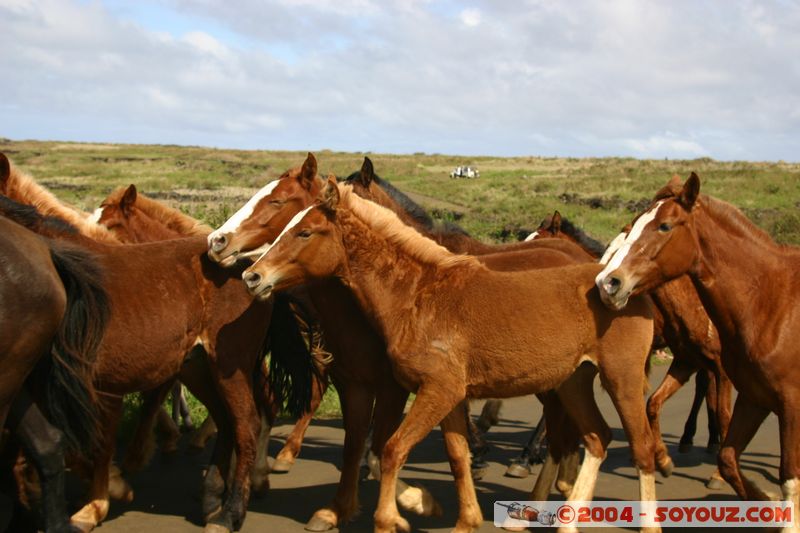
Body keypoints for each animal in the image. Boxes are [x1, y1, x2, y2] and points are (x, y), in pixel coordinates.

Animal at [242, 178, 658, 533]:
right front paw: (462, 519)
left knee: (640, 446)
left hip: (621, 378)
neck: (418, 295)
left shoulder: (435, 390)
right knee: (596, 437)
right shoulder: (451, 396)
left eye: (304, 232)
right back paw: (565, 519)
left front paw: (392, 518)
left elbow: (391, 450)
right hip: (572, 383)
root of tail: (623, 283)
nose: (252, 276)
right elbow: (457, 456)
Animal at [596, 173, 800, 532]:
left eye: (664, 226)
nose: (607, 282)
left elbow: (787, 474)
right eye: (631, 226)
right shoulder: (750, 393)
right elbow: (727, 456)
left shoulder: (785, 401)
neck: (769, 301)